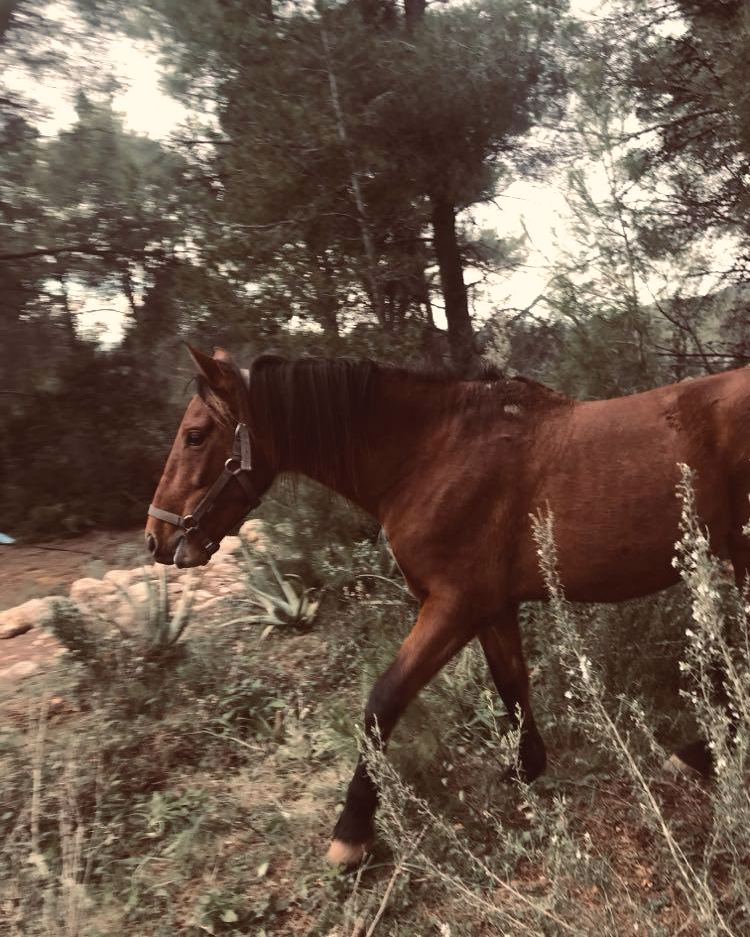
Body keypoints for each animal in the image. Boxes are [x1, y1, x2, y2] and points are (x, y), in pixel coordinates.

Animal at [145, 346, 750, 867]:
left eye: (195, 436)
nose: (157, 537)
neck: (431, 454)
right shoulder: (492, 608)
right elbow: (511, 684)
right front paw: (525, 769)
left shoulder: (453, 607)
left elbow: (383, 700)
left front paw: (352, 835)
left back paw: (698, 754)